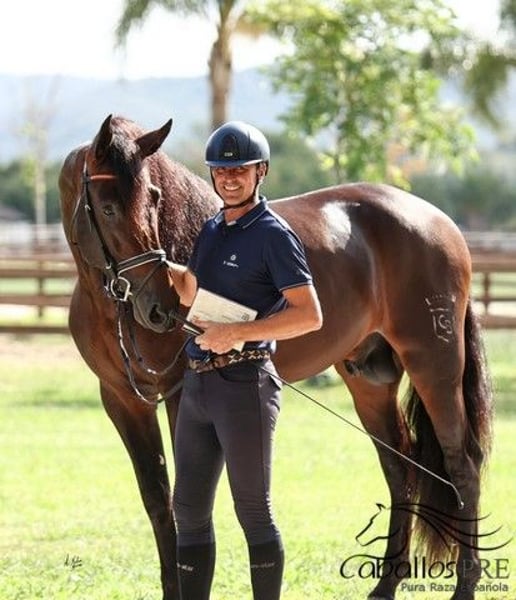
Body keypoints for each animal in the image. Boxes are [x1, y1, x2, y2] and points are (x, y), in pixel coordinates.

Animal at [59, 114, 493, 600]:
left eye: (154, 197)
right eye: (108, 208)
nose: (161, 305)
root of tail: (439, 222)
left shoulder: (178, 396)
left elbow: (187, 499)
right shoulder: (123, 401)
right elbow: (157, 501)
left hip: (434, 365)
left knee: (461, 463)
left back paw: (464, 584)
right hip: (370, 379)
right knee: (402, 468)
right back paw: (384, 586)